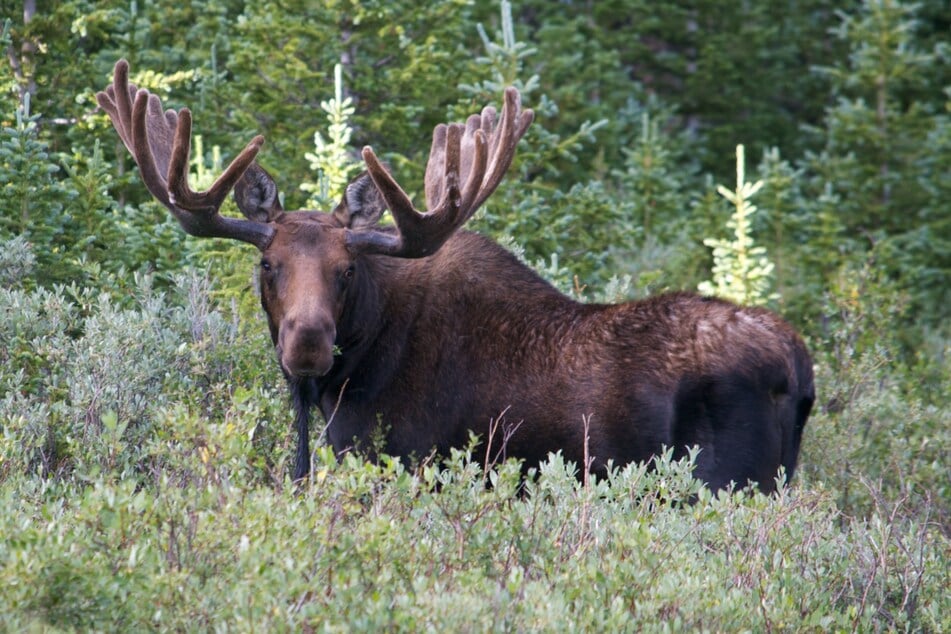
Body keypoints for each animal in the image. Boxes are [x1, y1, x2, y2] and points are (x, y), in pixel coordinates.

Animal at [96, 59, 816, 492]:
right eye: (267, 264)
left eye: (346, 269)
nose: (307, 343)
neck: (340, 384)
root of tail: (799, 368)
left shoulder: (406, 461)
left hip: (724, 482)